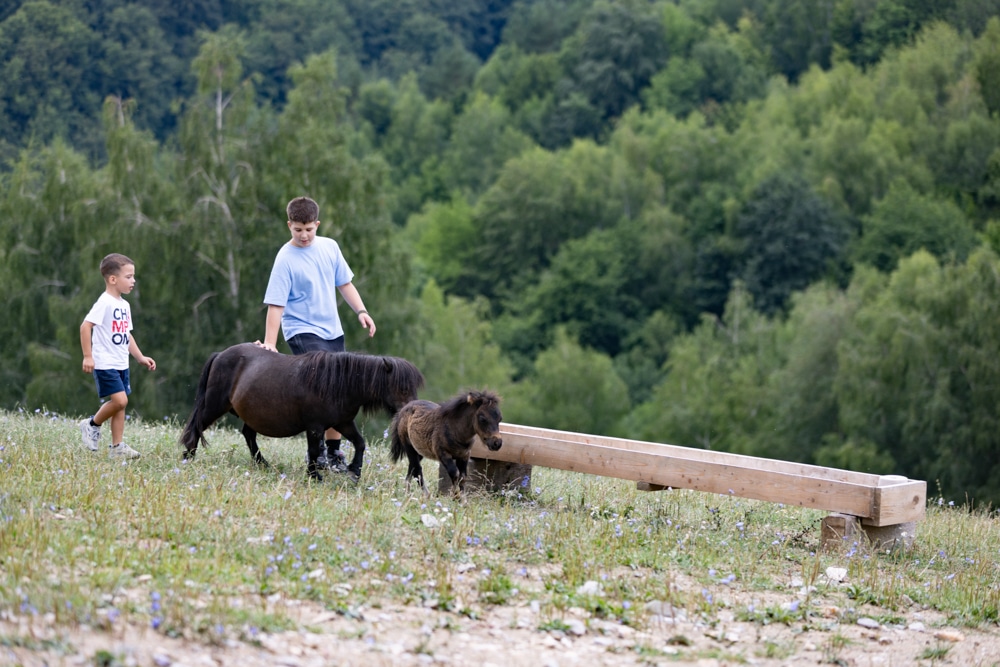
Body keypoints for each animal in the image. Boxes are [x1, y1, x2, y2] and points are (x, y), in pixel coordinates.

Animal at [180, 343, 424, 480]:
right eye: (403, 387)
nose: (412, 411)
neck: (339, 382)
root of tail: (220, 355)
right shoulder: (315, 426)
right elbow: (314, 451)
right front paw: (314, 476)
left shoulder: (343, 422)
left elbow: (360, 443)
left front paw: (354, 471)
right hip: (213, 406)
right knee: (196, 428)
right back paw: (187, 458)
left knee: (248, 435)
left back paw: (262, 463)